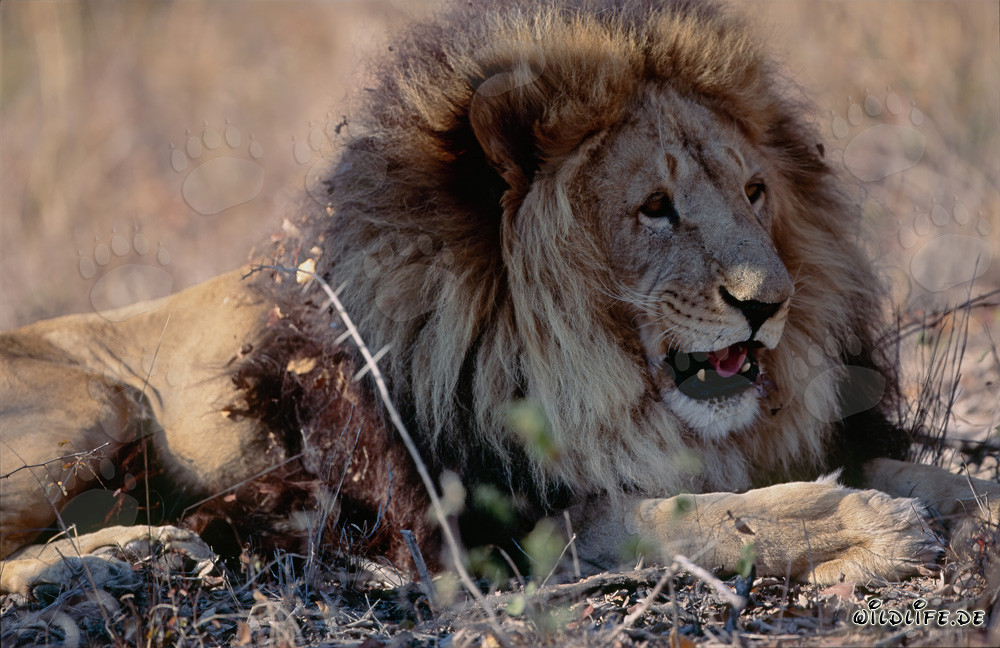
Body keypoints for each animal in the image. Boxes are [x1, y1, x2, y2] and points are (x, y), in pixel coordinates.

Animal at [2, 0, 998, 595]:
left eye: (755, 192)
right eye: (655, 207)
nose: (772, 303)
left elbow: (928, 473)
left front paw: (960, 505)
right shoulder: (493, 525)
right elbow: (686, 515)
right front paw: (867, 527)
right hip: (91, 406)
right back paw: (126, 554)